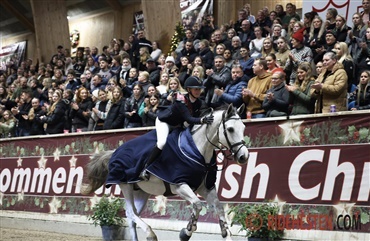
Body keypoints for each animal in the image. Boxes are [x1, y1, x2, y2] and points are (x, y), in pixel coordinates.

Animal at [81, 104, 249, 241]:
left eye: (243, 128)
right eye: (230, 129)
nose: (243, 156)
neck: (197, 149)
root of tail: (114, 152)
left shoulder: (206, 187)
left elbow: (219, 207)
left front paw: (225, 234)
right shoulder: (179, 185)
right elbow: (197, 205)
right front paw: (186, 232)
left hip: (141, 191)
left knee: (132, 216)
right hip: (125, 185)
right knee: (130, 212)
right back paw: (150, 234)